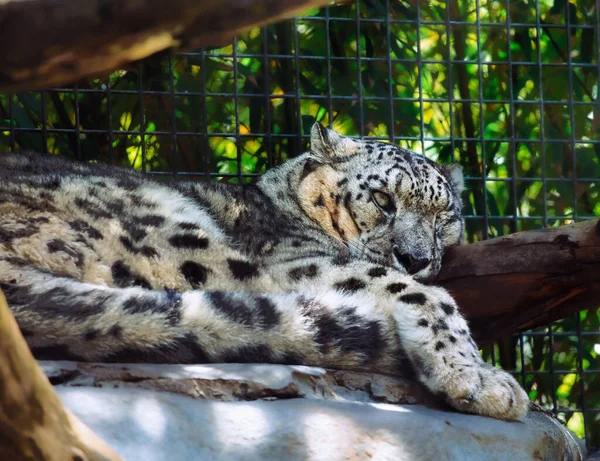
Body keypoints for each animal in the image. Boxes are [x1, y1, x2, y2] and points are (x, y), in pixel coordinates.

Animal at [0, 123, 528, 420]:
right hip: (177, 237)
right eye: (382, 198)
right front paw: (482, 380)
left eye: (445, 216)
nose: (416, 259)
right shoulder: (299, 262)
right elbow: (423, 294)